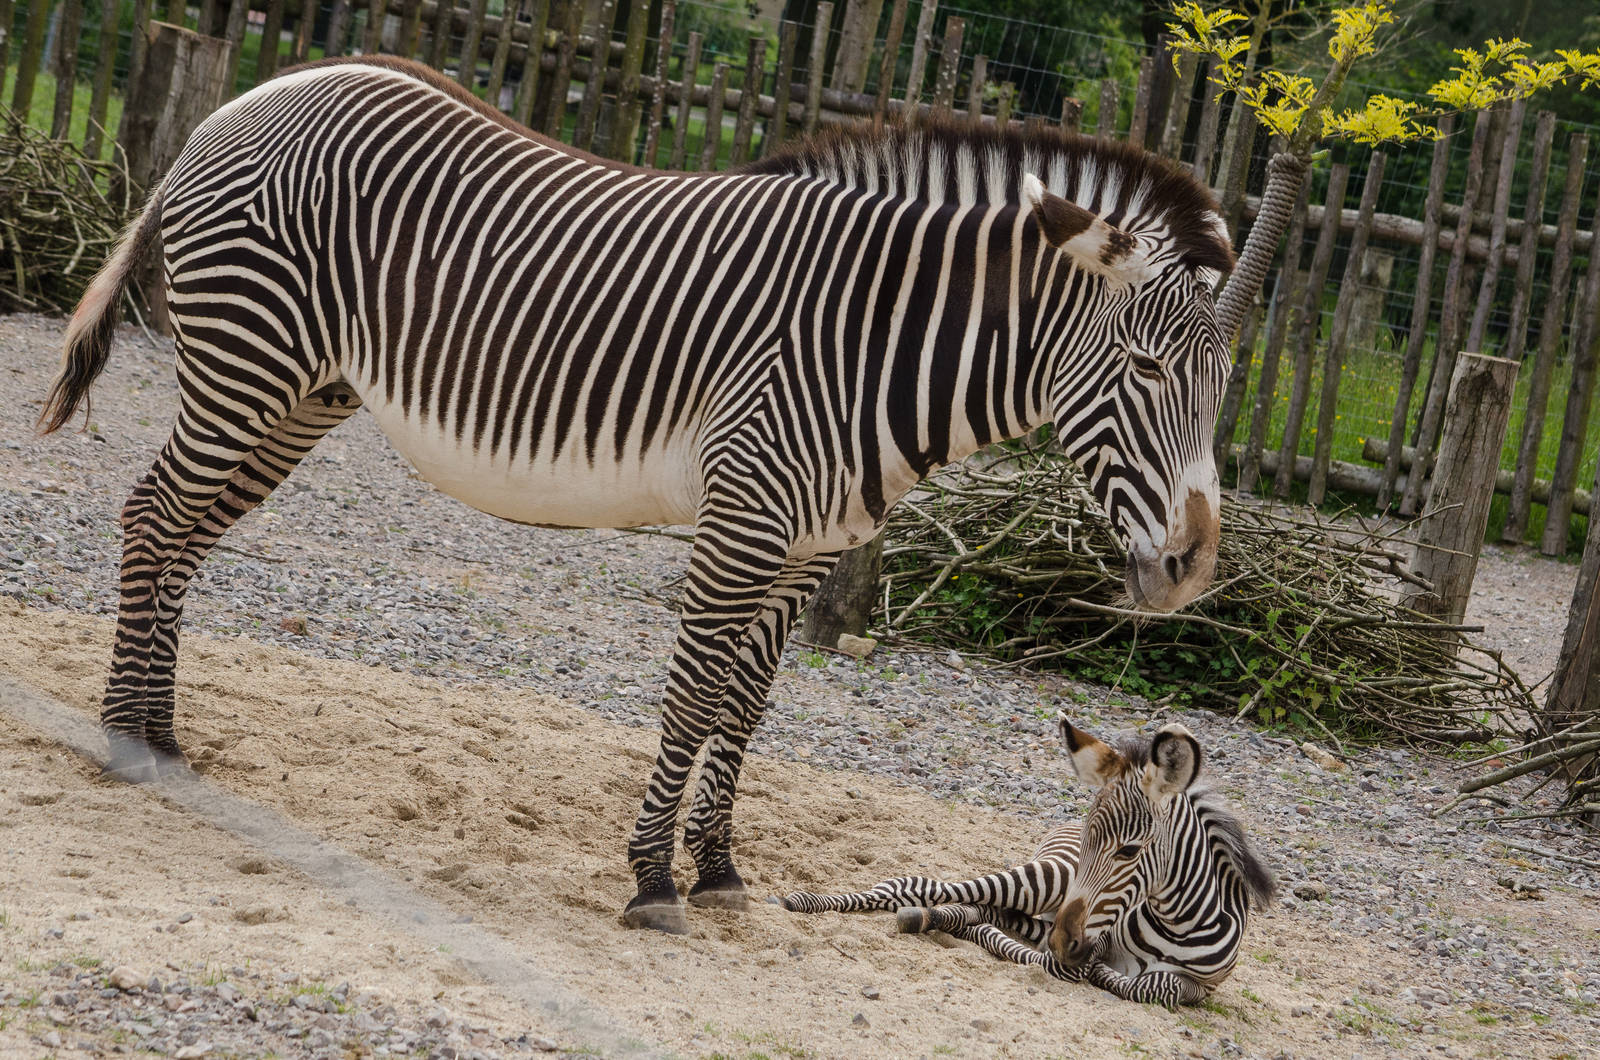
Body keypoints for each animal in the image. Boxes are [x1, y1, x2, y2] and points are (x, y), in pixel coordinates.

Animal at [37, 56, 1236, 934]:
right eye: (1144, 370)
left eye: (1221, 383)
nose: (1192, 570)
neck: (877, 343)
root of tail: (252, 94)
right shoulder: (744, 519)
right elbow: (695, 694)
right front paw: (655, 878)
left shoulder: (804, 550)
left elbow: (747, 707)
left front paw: (721, 869)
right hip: (247, 364)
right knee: (154, 517)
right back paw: (126, 740)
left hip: (299, 393)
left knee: (186, 532)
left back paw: (164, 740)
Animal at [782, 719, 1276, 1006]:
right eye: (1090, 839)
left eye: (1129, 851)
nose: (1063, 941)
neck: (1178, 923)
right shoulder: (1085, 939)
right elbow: (1063, 965)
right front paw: (1091, 968)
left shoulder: (1203, 988)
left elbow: (1157, 986)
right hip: (1046, 879)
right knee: (919, 884)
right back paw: (806, 901)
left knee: (977, 908)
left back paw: (934, 918)